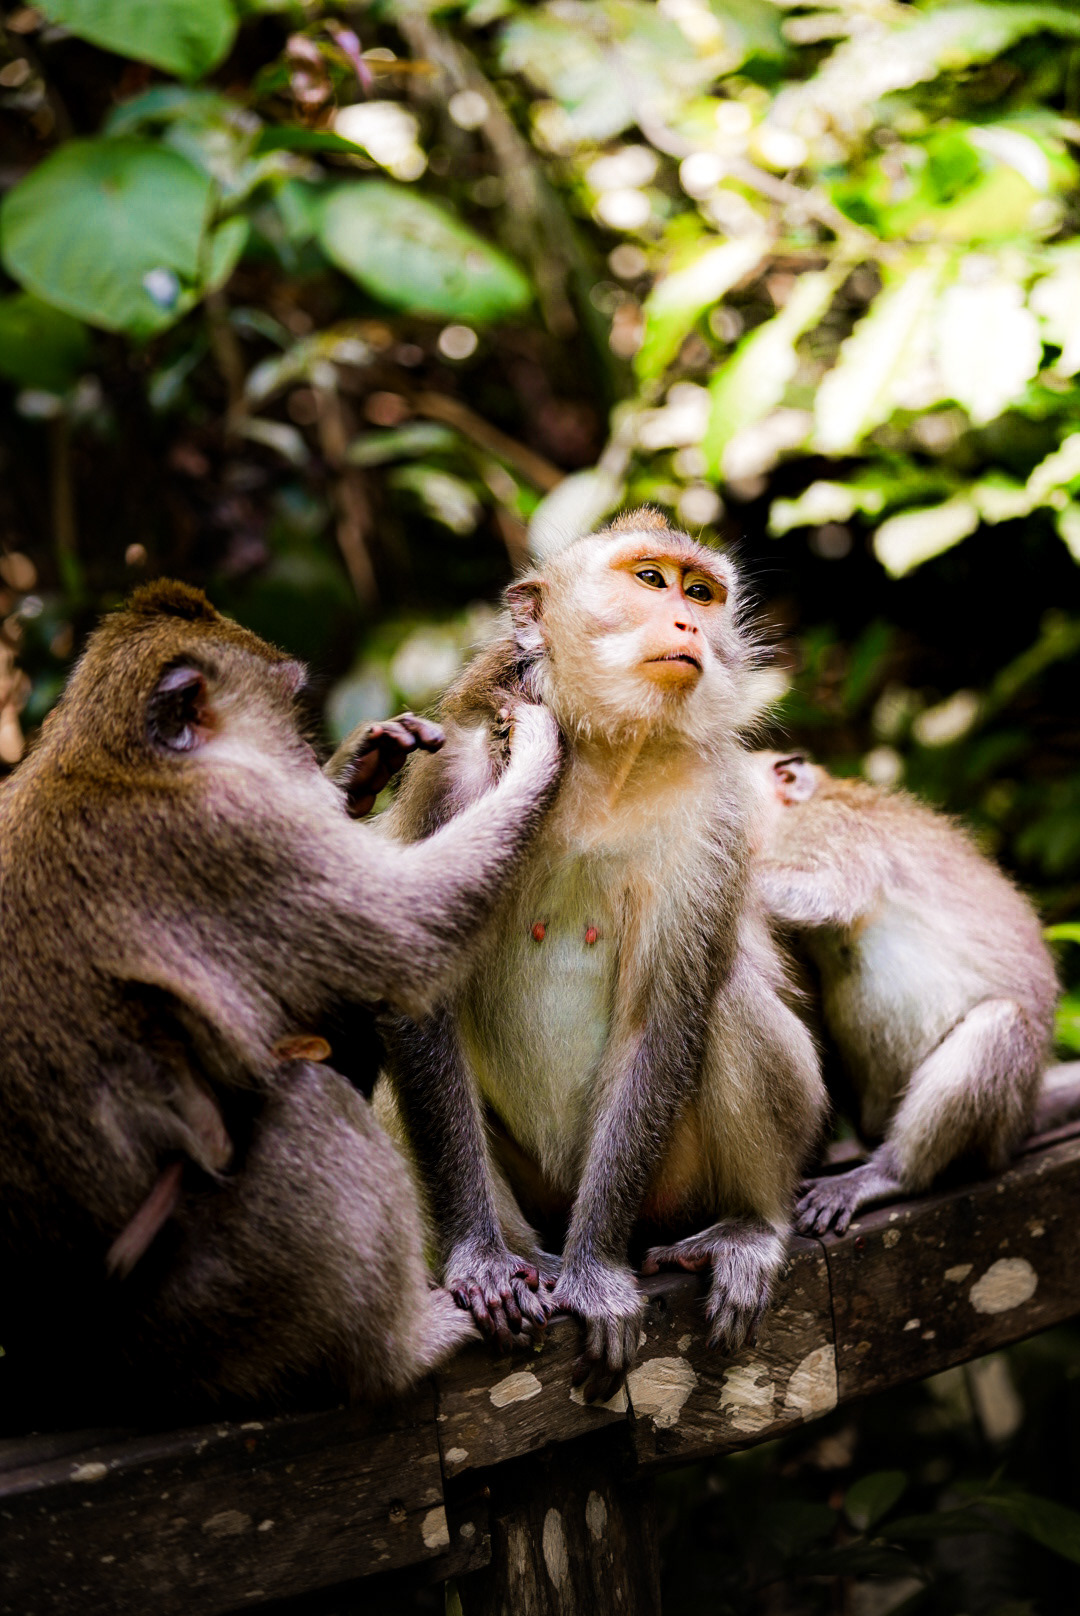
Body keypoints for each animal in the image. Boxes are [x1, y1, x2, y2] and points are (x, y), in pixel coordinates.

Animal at [0, 580, 563, 1418]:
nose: (302, 753)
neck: (101, 756)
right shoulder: (235, 836)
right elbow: (408, 934)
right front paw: (535, 752)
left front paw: (355, 769)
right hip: (210, 1325)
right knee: (310, 1101)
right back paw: (400, 1349)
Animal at [374, 511, 826, 1401]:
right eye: (649, 581)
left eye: (700, 591)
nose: (688, 623)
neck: (607, 758)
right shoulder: (453, 772)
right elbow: (421, 1000)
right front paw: (483, 1263)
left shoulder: (709, 809)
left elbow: (665, 1019)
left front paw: (595, 1276)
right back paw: (517, 1258)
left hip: (674, 1188)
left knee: (721, 998)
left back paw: (748, 1228)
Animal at [752, 752, 1059, 1236]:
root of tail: (1023, 1124)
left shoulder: (829, 827)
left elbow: (826, 892)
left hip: (1001, 1124)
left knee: (999, 1023)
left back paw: (890, 1173)